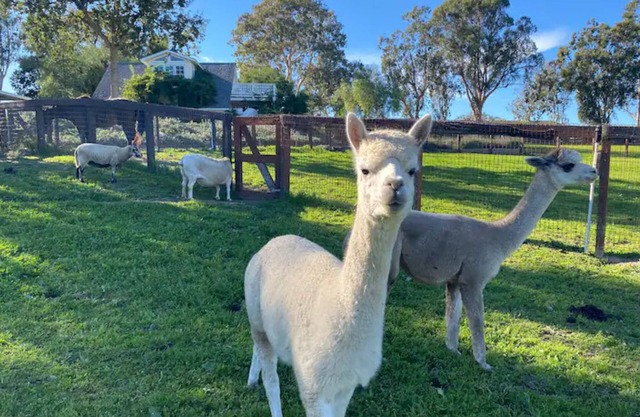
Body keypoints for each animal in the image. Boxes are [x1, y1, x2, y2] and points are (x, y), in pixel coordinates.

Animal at [244, 113, 433, 417]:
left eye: (413, 170)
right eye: (365, 170)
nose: (395, 185)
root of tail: (275, 240)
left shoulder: (346, 384)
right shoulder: (313, 385)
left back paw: (251, 378)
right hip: (255, 308)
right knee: (271, 378)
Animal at [344, 148, 597, 371]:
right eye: (568, 165)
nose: (594, 171)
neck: (497, 236)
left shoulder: (455, 279)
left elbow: (453, 317)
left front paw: (453, 351)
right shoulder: (474, 279)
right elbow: (477, 322)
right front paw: (484, 364)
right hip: (388, 265)